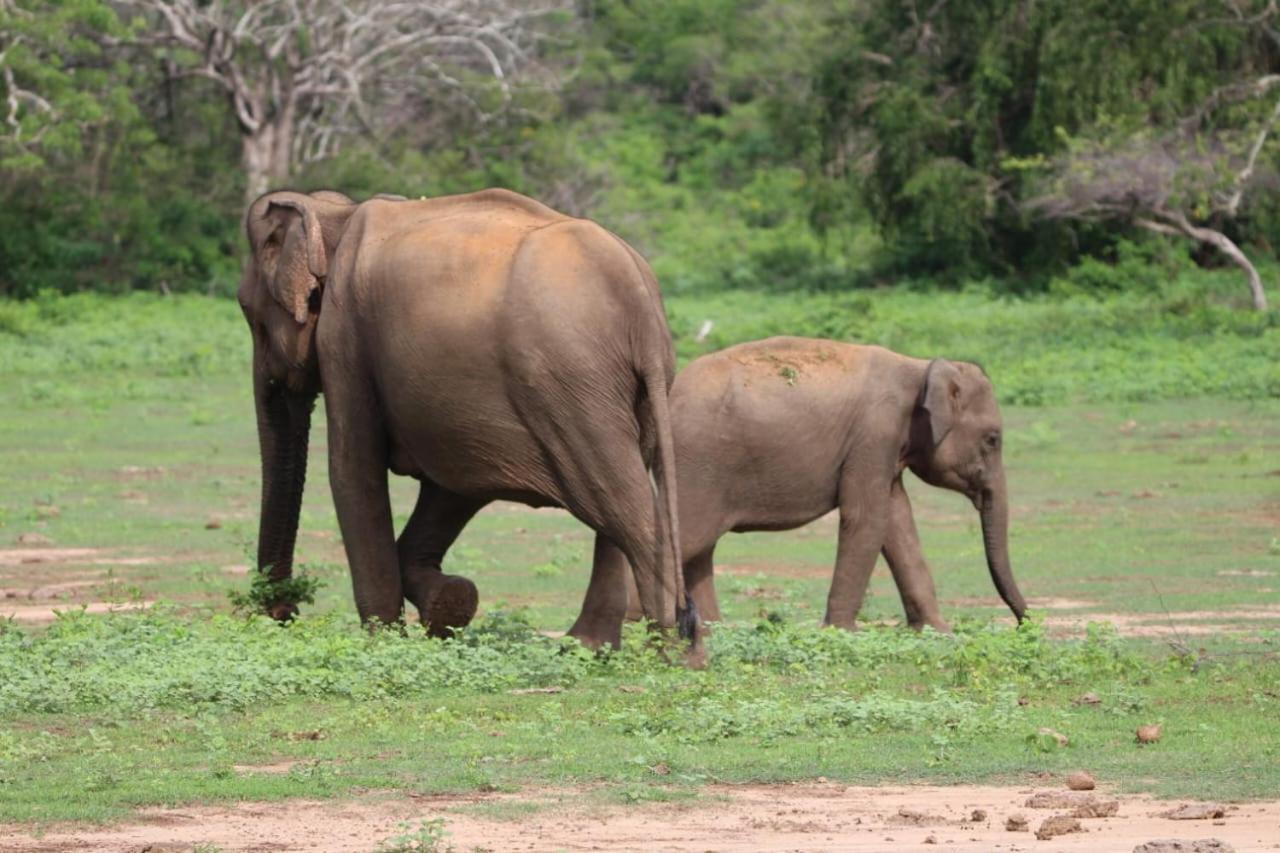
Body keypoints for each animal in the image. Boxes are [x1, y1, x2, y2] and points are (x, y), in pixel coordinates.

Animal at [235, 188, 696, 645]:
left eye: (250, 315)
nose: (284, 609)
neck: (335, 214)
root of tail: (640, 304)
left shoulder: (345, 336)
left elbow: (353, 472)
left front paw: (385, 640)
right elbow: (453, 486)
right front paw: (450, 604)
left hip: (573, 386)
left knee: (625, 509)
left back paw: (668, 650)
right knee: (617, 510)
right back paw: (589, 647)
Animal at [591, 335, 1029, 627]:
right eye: (993, 439)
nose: (1027, 624)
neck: (920, 366)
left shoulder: (886, 450)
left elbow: (897, 522)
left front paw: (937, 633)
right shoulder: (874, 435)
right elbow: (865, 519)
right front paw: (840, 633)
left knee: (699, 547)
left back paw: (710, 628)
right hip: (697, 463)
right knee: (687, 540)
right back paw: (643, 623)